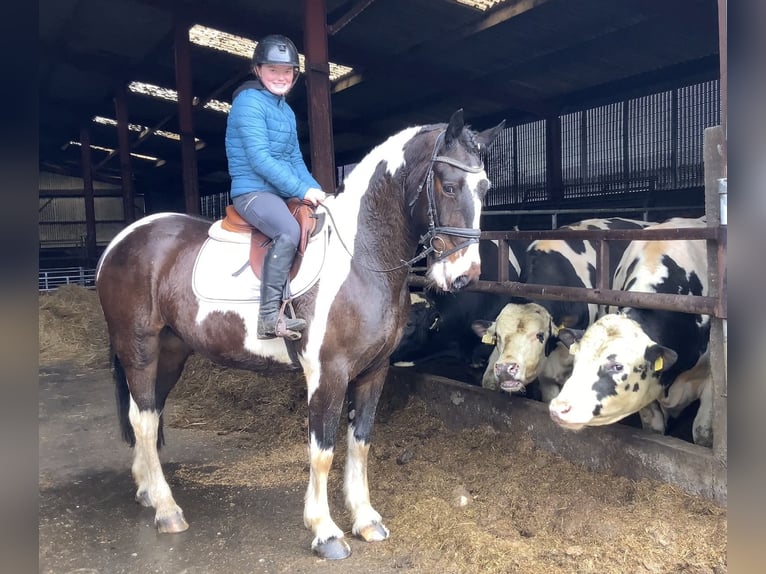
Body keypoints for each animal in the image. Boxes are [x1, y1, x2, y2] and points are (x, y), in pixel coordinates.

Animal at [95, 109, 504, 560]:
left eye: (484, 188)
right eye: (448, 186)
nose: (464, 276)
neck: (361, 257)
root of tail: (122, 240)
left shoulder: (375, 371)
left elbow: (360, 442)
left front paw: (366, 520)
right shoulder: (328, 373)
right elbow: (322, 451)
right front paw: (325, 532)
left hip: (170, 351)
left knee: (148, 412)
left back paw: (148, 492)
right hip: (139, 348)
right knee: (143, 419)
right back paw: (167, 510)